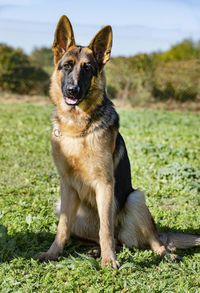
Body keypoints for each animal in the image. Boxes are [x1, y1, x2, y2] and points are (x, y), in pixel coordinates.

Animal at [38, 15, 200, 266]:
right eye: (67, 66)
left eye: (88, 69)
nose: (73, 91)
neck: (78, 128)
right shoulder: (67, 187)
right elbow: (62, 228)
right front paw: (53, 253)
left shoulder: (105, 185)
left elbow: (105, 228)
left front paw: (108, 260)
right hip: (63, 206)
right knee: (108, 239)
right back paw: (94, 250)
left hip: (136, 199)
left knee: (149, 239)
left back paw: (165, 254)